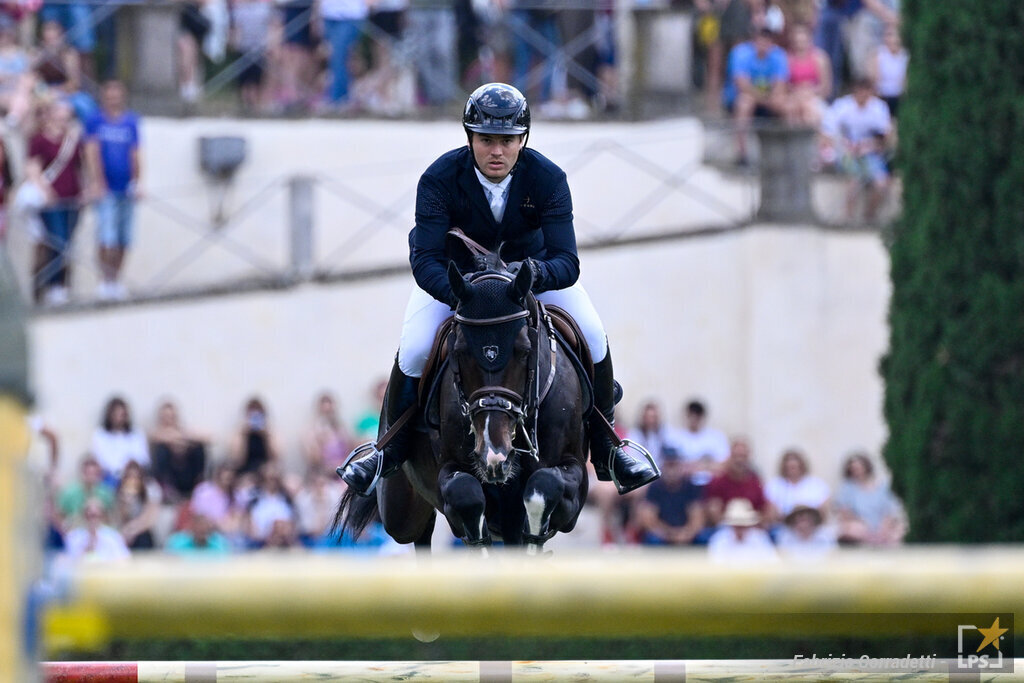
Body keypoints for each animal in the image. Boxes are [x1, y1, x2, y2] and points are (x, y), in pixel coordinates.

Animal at [333, 259, 589, 552]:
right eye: (459, 351)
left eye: (525, 350)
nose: (494, 455)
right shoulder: (453, 474)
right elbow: (466, 496)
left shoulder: (575, 482)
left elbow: (544, 485)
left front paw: (534, 544)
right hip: (401, 512)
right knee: (419, 532)